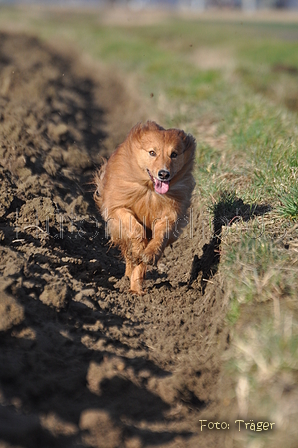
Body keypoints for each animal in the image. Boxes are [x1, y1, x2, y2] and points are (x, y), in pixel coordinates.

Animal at [93, 120, 196, 294]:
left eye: (174, 154)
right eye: (152, 152)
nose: (164, 174)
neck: (150, 190)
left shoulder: (171, 214)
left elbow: (161, 233)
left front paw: (150, 253)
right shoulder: (117, 208)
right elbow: (135, 227)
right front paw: (138, 249)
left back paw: (136, 289)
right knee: (129, 253)